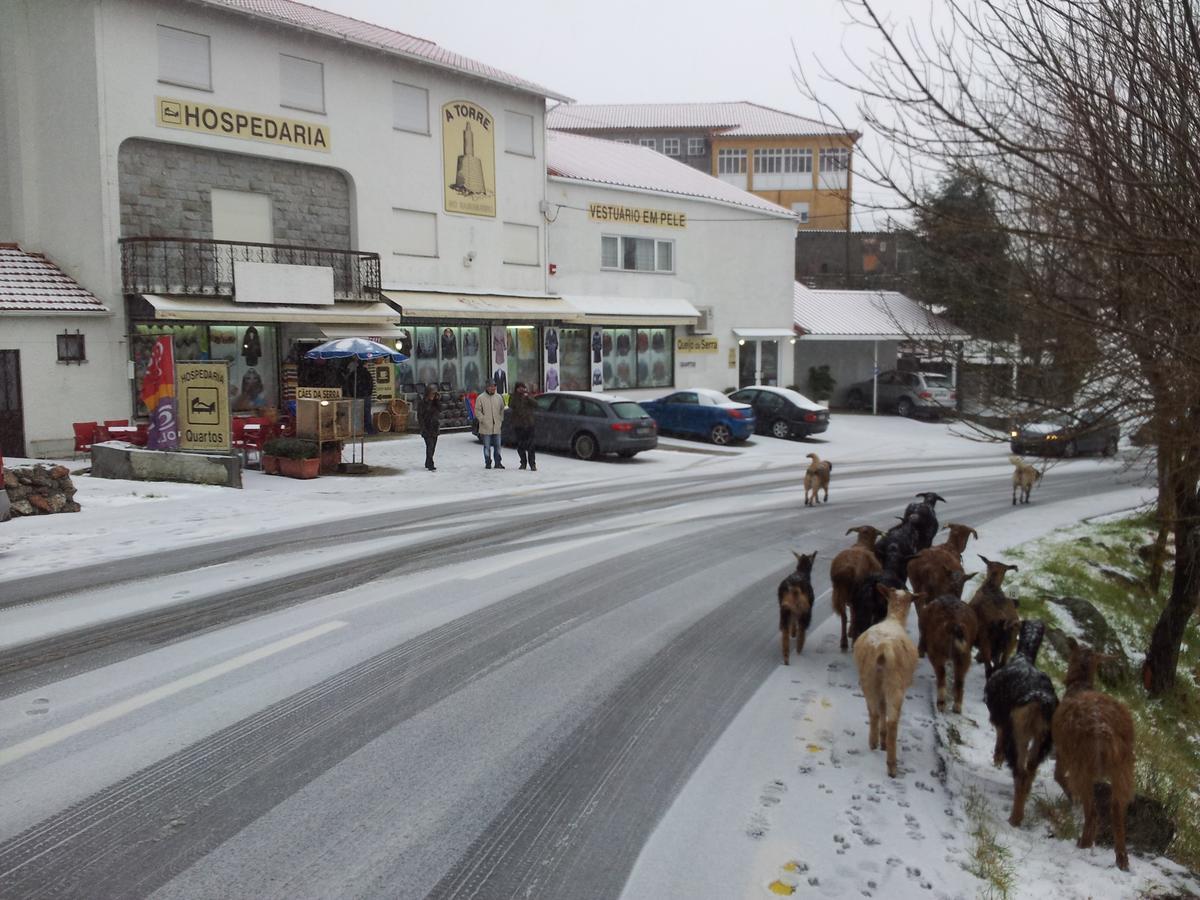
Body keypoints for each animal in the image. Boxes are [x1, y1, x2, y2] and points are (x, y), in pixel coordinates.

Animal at [849, 588, 921, 777]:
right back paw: (892, 765)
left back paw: (874, 742)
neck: (894, 618)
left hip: (868, 679)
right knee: (892, 723)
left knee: (873, 712)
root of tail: (883, 648)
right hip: (895, 685)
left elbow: (881, 709)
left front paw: (881, 740)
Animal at [984, 624, 1060, 830]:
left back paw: (1015, 818)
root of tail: (1040, 701)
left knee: (1021, 772)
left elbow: (1000, 733)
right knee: (1031, 769)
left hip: (1020, 733)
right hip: (1043, 739)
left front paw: (997, 758)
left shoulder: (1001, 717)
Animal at [1051, 638, 1132, 868]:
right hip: (1124, 768)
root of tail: (1106, 733)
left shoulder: (1063, 751)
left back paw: (1084, 842)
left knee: (1094, 809)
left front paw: (1071, 798)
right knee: (1117, 810)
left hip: (1083, 764)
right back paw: (1122, 859)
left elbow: (1058, 776)